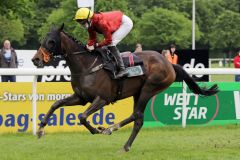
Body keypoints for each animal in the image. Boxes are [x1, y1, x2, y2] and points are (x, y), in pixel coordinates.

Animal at [31, 24, 218, 152]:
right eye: (43, 39)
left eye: (51, 41)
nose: (35, 59)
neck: (86, 66)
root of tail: (169, 64)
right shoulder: (81, 98)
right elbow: (56, 104)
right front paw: (40, 129)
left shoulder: (102, 99)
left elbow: (83, 117)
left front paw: (95, 130)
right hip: (138, 92)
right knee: (137, 117)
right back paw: (116, 136)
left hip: (149, 89)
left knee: (138, 116)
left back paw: (114, 135)